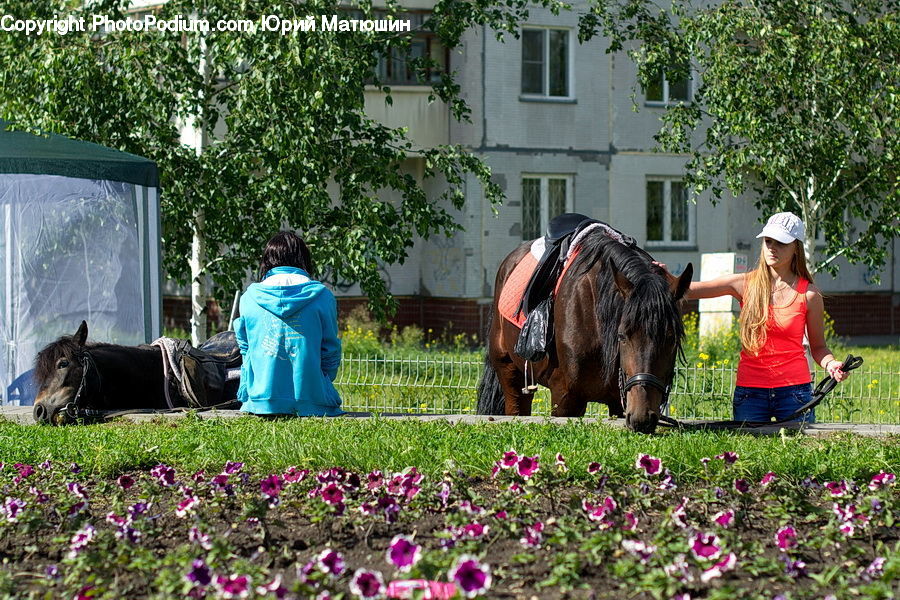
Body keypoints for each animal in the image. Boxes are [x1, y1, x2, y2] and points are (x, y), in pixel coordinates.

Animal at [476, 228, 693, 433]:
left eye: (672, 339)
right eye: (622, 336)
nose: (643, 418)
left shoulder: (619, 404)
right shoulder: (565, 399)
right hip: (509, 373)